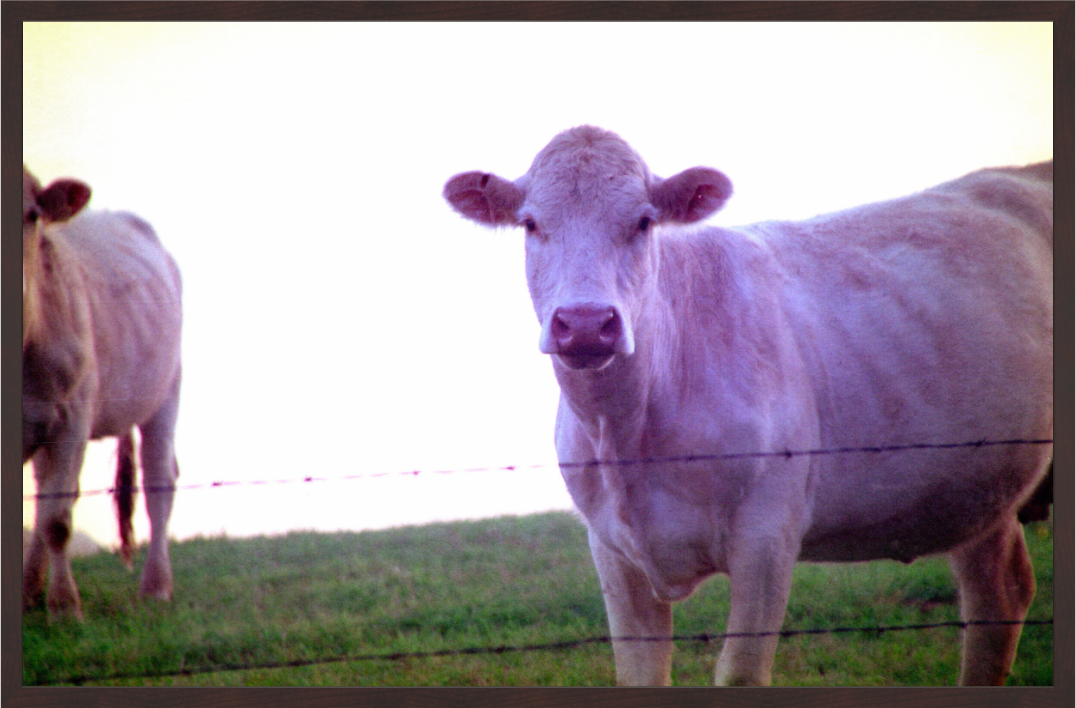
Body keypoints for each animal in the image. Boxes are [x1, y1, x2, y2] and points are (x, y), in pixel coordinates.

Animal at [23, 167, 183, 621]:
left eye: (32, 214)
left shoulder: (71, 419)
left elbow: (57, 519)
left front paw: (65, 608)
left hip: (165, 391)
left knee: (159, 480)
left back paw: (156, 586)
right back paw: (28, 589)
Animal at [443, 126, 1052, 686]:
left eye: (643, 221)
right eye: (530, 223)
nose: (587, 324)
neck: (627, 435)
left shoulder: (768, 534)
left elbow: (740, 672)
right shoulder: (611, 549)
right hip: (979, 487)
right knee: (998, 594)